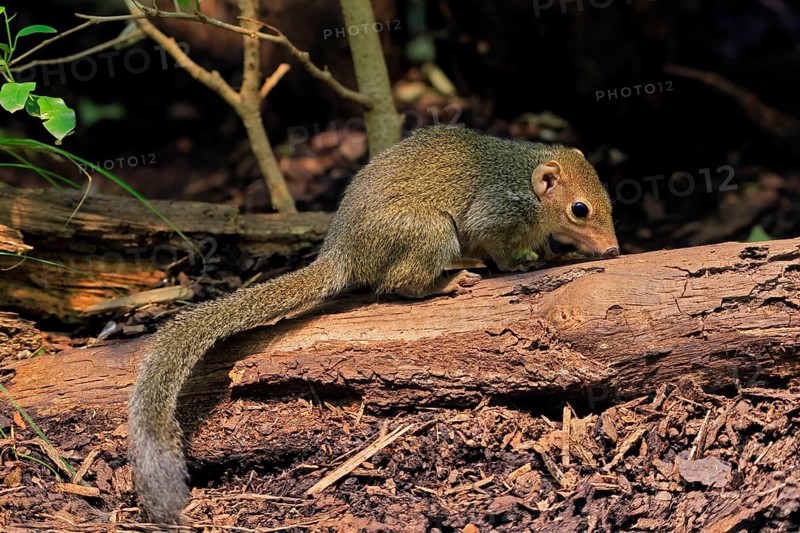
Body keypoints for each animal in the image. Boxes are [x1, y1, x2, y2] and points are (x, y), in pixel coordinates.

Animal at [128, 125, 620, 524]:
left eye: (608, 202)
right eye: (579, 209)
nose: (613, 250)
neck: (528, 186)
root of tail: (343, 253)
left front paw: (552, 254)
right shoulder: (496, 214)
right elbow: (497, 249)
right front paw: (520, 264)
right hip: (430, 230)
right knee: (400, 284)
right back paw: (449, 281)